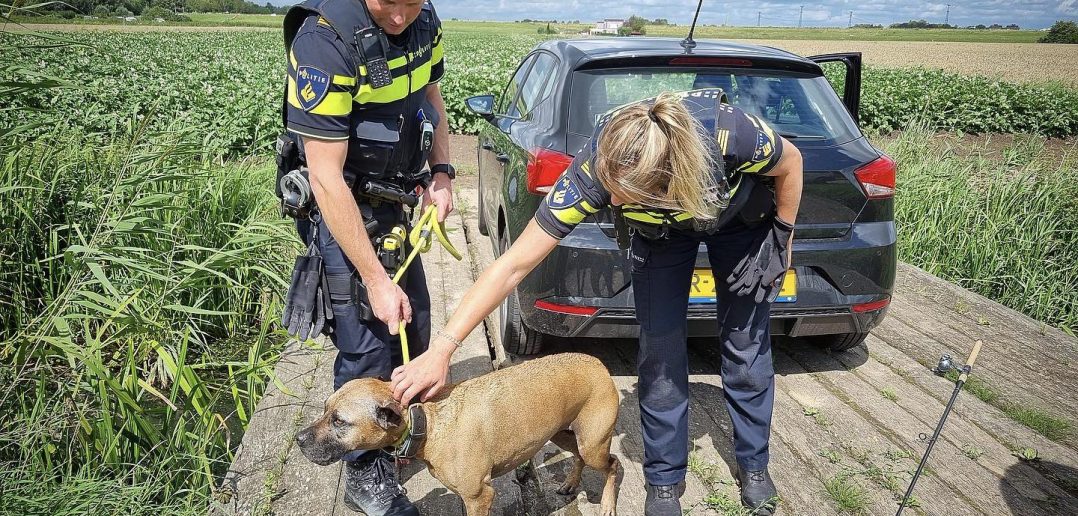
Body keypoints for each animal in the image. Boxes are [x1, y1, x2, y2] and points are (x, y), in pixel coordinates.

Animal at [295, 353, 620, 514]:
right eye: (325, 409)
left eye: (339, 421)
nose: (299, 440)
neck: (428, 422)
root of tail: (599, 364)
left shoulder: (480, 496)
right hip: (565, 434)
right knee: (579, 457)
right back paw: (570, 482)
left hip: (593, 443)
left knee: (613, 464)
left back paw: (607, 505)